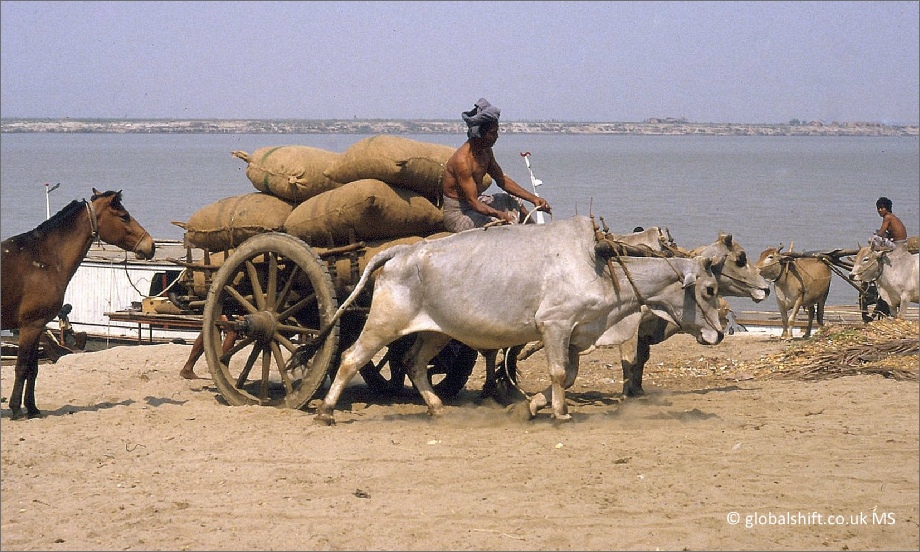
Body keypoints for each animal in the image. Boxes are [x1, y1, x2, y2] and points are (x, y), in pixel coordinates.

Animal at [1, 189, 156, 419]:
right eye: (124, 216)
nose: (151, 245)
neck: (43, 259)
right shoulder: (29, 326)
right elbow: (22, 367)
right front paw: (16, 408)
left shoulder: (37, 327)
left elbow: (33, 369)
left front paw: (32, 408)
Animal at [313, 215, 725, 424]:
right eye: (708, 289)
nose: (720, 334)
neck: (600, 266)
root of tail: (400, 251)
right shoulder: (555, 325)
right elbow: (558, 374)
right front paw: (559, 413)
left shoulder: (574, 333)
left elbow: (567, 376)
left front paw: (533, 405)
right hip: (383, 323)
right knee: (351, 358)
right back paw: (327, 411)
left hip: (437, 332)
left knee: (413, 362)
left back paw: (435, 406)